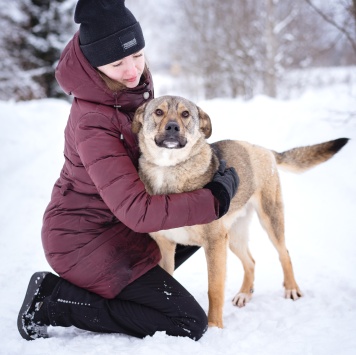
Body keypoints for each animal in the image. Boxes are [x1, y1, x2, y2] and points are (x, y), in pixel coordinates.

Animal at [131, 96, 348, 330]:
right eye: (159, 112)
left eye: (185, 114)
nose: (172, 127)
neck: (168, 169)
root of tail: (262, 149)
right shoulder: (166, 246)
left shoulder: (215, 243)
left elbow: (214, 290)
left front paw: (215, 327)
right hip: (234, 236)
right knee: (251, 262)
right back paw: (245, 294)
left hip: (269, 220)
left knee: (284, 253)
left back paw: (291, 288)